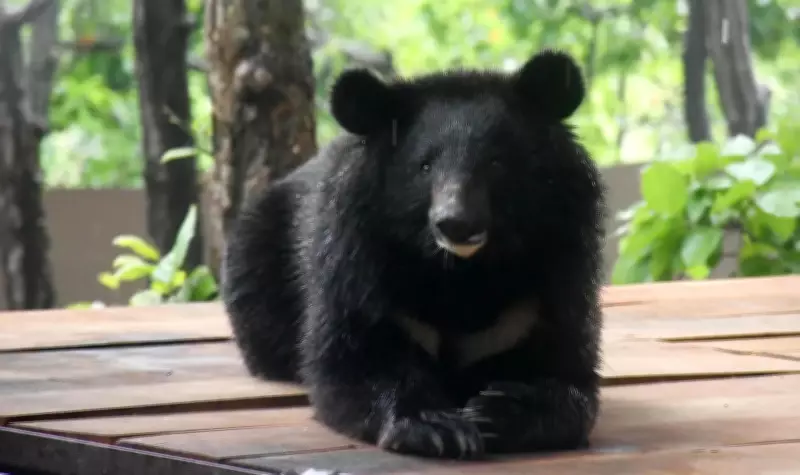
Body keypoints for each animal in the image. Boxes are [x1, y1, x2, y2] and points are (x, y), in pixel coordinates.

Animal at [221, 48, 607, 461]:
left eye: (496, 163)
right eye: (424, 165)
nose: (456, 223)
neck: (463, 271)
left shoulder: (553, 269)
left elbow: (566, 368)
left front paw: (497, 413)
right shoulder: (357, 257)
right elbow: (354, 358)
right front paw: (436, 428)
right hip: (258, 257)